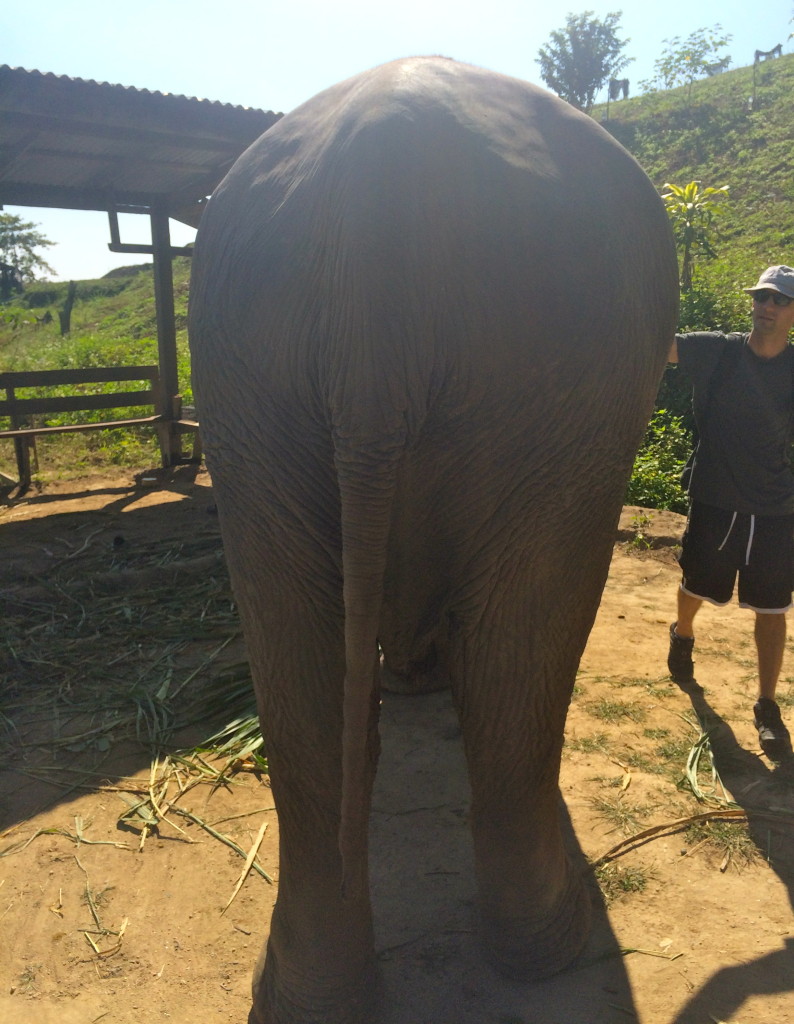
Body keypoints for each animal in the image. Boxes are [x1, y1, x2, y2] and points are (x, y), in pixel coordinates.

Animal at [189, 56, 680, 1024]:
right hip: (557, 372)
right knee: (519, 640)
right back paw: (550, 942)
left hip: (255, 384)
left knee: (304, 651)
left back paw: (320, 988)